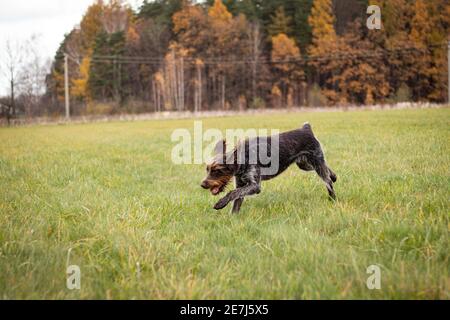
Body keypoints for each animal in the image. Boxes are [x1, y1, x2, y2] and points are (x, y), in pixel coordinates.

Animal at [201, 124, 338, 214]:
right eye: (207, 170)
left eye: (217, 171)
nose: (203, 184)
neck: (244, 156)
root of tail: (306, 129)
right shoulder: (241, 184)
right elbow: (236, 200)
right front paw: (233, 219)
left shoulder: (254, 185)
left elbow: (232, 193)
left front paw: (220, 204)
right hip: (305, 165)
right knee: (327, 170)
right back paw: (334, 176)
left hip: (316, 163)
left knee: (327, 181)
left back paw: (333, 199)